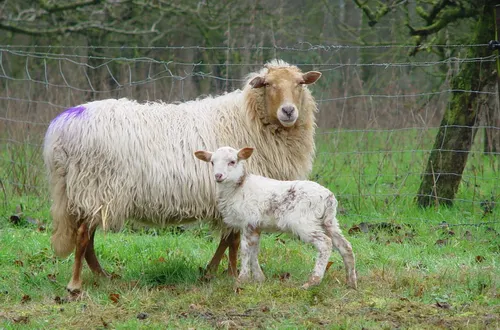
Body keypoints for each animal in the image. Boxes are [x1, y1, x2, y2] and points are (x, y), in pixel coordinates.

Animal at [45, 58, 322, 292]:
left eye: (300, 83)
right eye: (268, 84)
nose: (289, 111)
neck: (247, 118)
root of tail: (63, 124)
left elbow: (227, 239)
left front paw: (211, 271)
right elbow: (233, 240)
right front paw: (232, 274)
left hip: (88, 193)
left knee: (87, 238)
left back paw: (103, 277)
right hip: (97, 187)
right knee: (83, 237)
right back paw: (76, 285)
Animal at [194, 147, 356, 288]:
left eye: (232, 161)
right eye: (212, 162)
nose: (218, 176)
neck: (238, 187)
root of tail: (329, 198)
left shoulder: (248, 222)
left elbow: (245, 250)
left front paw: (241, 280)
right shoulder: (256, 226)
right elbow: (254, 250)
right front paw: (259, 278)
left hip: (305, 223)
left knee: (325, 244)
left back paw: (312, 282)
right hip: (329, 222)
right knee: (345, 246)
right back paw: (351, 282)